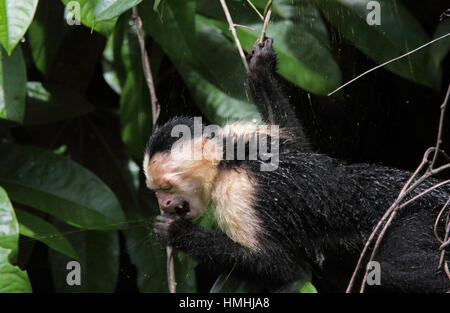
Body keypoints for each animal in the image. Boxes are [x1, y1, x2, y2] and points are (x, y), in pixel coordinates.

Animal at [144, 37, 450, 292]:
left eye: (167, 188)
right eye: (156, 191)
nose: (164, 204)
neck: (228, 161)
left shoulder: (236, 193)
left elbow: (277, 265)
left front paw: (176, 232)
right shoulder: (244, 134)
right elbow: (299, 143)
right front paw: (260, 71)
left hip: (419, 219)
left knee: (392, 272)